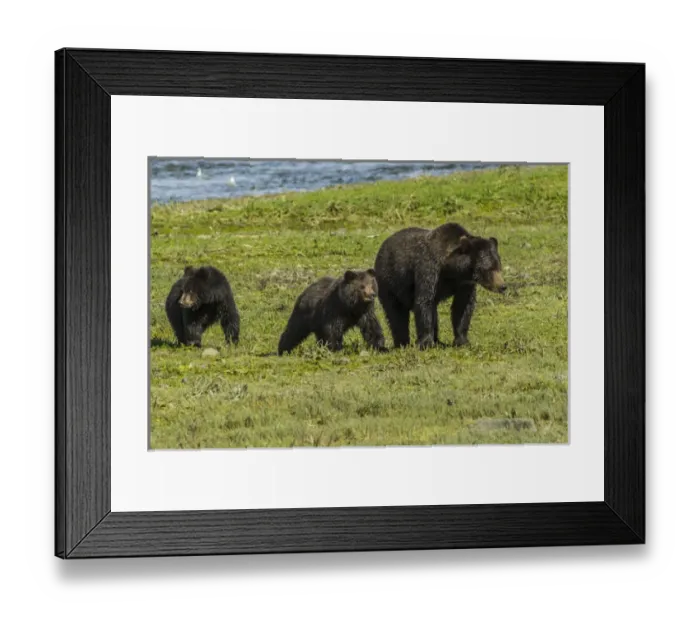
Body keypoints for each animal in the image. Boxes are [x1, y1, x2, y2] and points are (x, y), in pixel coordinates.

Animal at [373, 222, 506, 350]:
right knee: (396, 314)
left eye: (498, 266)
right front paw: (426, 343)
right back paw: (402, 342)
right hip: (389, 283)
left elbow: (463, 307)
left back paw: (438, 341)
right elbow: (424, 302)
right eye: (489, 269)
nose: (503, 286)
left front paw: (462, 341)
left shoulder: (464, 284)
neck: (451, 270)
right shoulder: (429, 270)